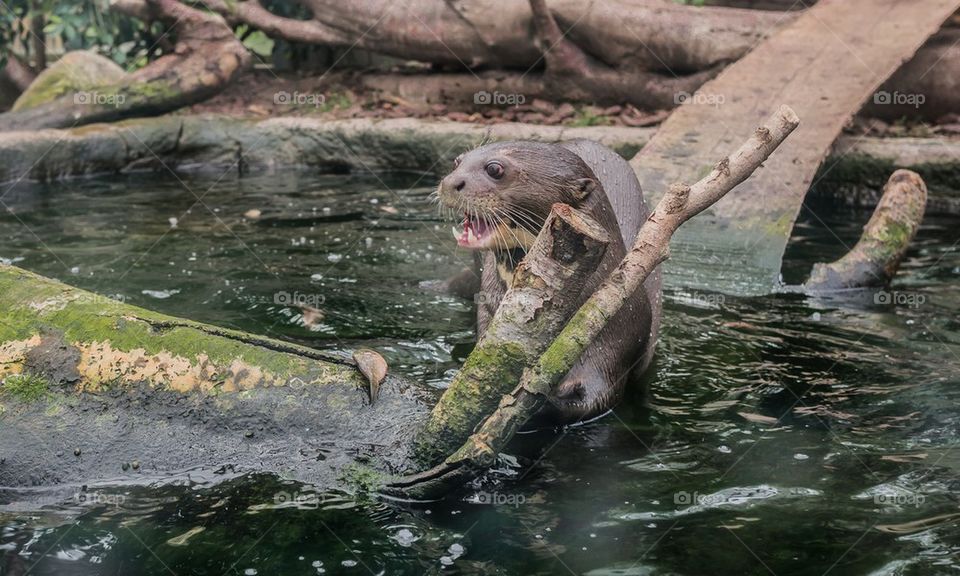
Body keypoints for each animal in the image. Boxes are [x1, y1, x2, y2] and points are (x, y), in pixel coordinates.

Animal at [440, 138, 660, 418]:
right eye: (456, 162)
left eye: (494, 169)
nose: (450, 182)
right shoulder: (488, 305)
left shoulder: (619, 335)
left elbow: (596, 396)